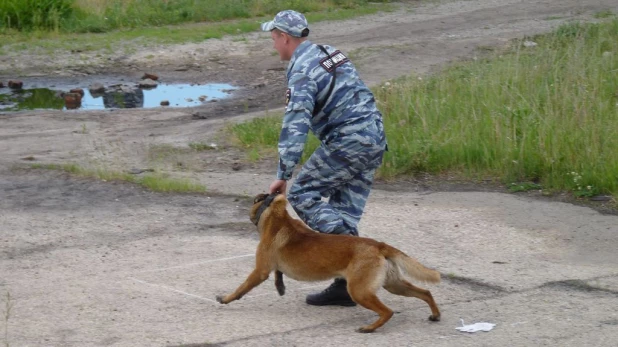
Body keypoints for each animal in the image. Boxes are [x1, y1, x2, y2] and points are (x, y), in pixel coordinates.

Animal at [214, 194, 440, 334]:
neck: (278, 219)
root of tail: (379, 245)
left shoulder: (259, 271)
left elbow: (241, 288)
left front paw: (226, 298)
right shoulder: (272, 266)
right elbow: (278, 274)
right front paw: (280, 287)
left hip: (360, 291)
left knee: (388, 311)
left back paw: (369, 328)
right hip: (393, 284)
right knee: (425, 292)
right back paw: (435, 315)